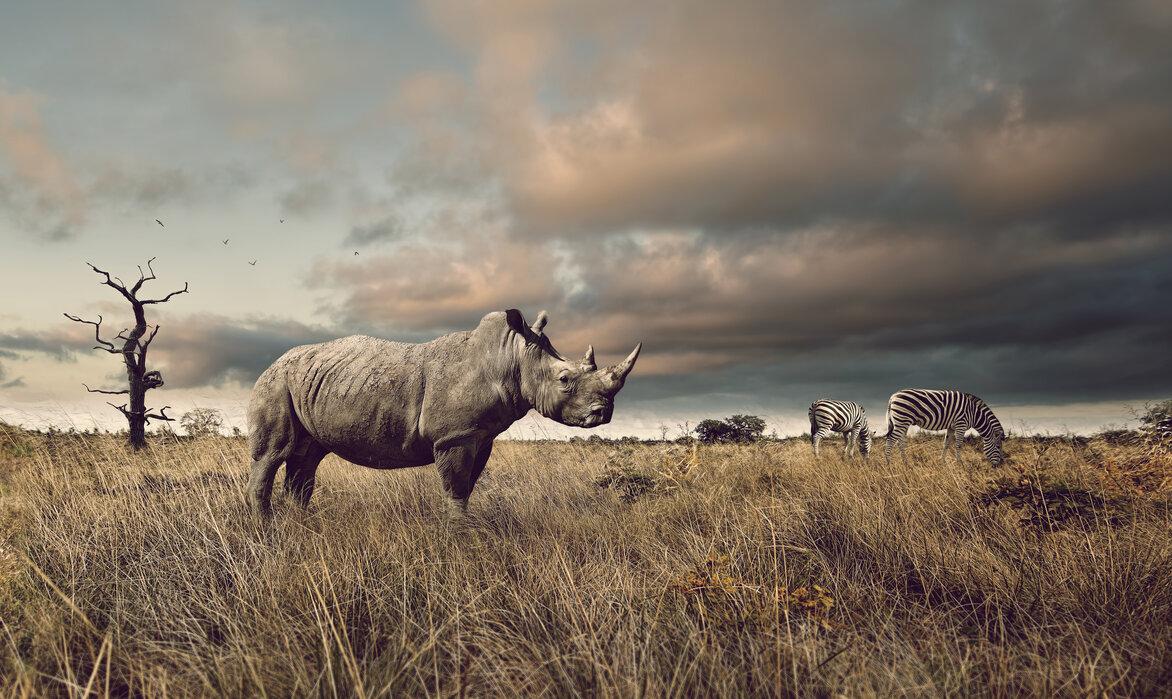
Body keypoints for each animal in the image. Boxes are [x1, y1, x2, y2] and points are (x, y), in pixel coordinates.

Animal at [247, 309, 641, 517]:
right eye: (564, 379)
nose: (603, 413)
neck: (507, 359)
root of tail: (270, 364)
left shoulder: (479, 436)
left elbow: (466, 489)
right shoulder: (454, 436)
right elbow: (455, 489)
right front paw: (460, 539)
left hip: (305, 384)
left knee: (307, 457)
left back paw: (302, 526)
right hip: (275, 382)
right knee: (274, 454)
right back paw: (265, 530)